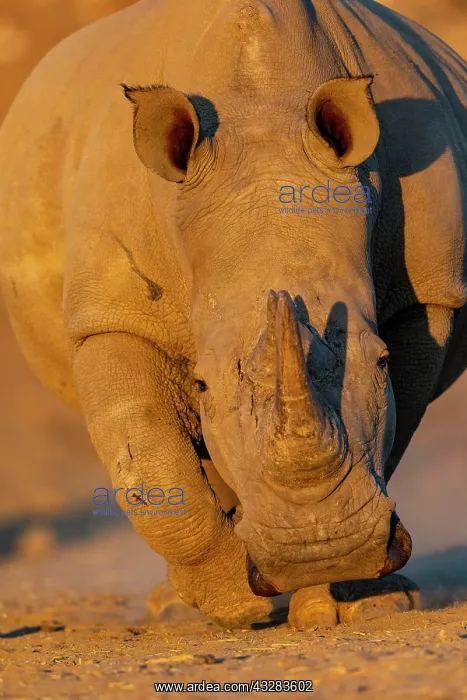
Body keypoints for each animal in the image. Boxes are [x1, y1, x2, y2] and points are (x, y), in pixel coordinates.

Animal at [0, 0, 465, 628]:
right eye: (201, 383)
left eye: (382, 362)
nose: (319, 548)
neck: (260, 112)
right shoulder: (111, 312)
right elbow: (148, 456)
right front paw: (236, 602)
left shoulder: (424, 296)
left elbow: (391, 434)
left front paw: (348, 601)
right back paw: (179, 608)